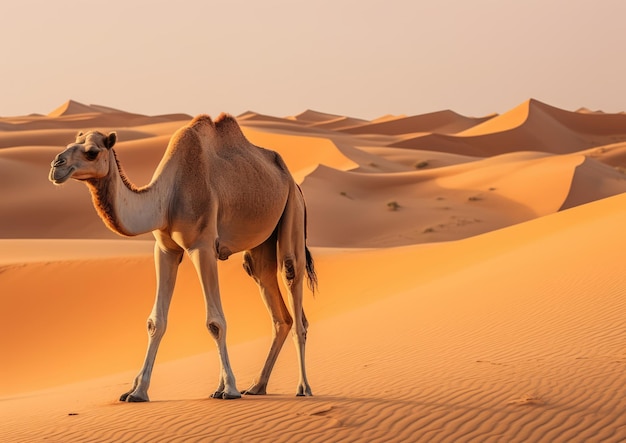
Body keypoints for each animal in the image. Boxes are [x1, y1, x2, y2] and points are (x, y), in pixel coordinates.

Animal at [47, 114, 316, 402]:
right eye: (69, 144)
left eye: (92, 152)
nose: (56, 165)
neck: (167, 197)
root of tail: (293, 181)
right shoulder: (165, 249)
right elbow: (156, 321)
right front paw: (137, 391)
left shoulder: (203, 246)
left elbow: (215, 322)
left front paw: (230, 388)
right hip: (260, 244)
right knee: (276, 307)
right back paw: (256, 386)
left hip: (293, 210)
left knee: (293, 285)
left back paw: (303, 387)